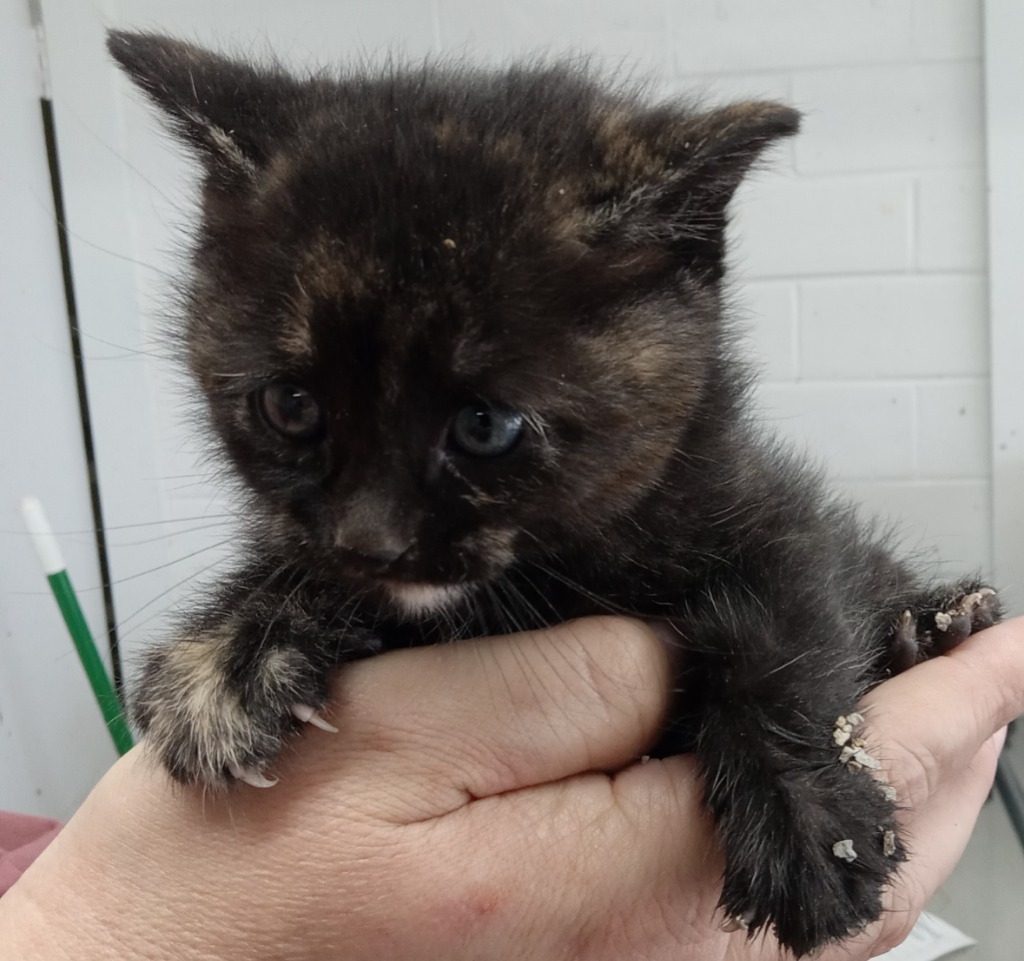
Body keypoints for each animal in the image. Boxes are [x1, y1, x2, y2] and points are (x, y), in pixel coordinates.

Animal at [110, 29, 999, 950]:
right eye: (290, 405)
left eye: (485, 425)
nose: (369, 542)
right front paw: (230, 655)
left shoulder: (767, 507)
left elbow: (783, 627)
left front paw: (811, 820)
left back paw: (934, 625)